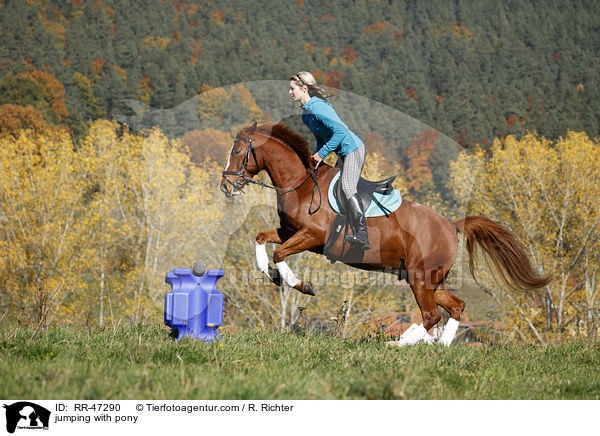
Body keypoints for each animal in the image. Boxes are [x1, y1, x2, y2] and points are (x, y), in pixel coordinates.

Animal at [219, 122, 548, 344]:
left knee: (431, 315)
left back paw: (399, 344)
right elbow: (262, 239)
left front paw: (301, 285)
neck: (300, 184)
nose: (225, 186)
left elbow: (279, 252)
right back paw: (438, 346)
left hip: (420, 276)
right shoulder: (289, 231)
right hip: (432, 279)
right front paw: (271, 275)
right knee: (455, 307)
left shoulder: (313, 237)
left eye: (238, 151)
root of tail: (451, 224)